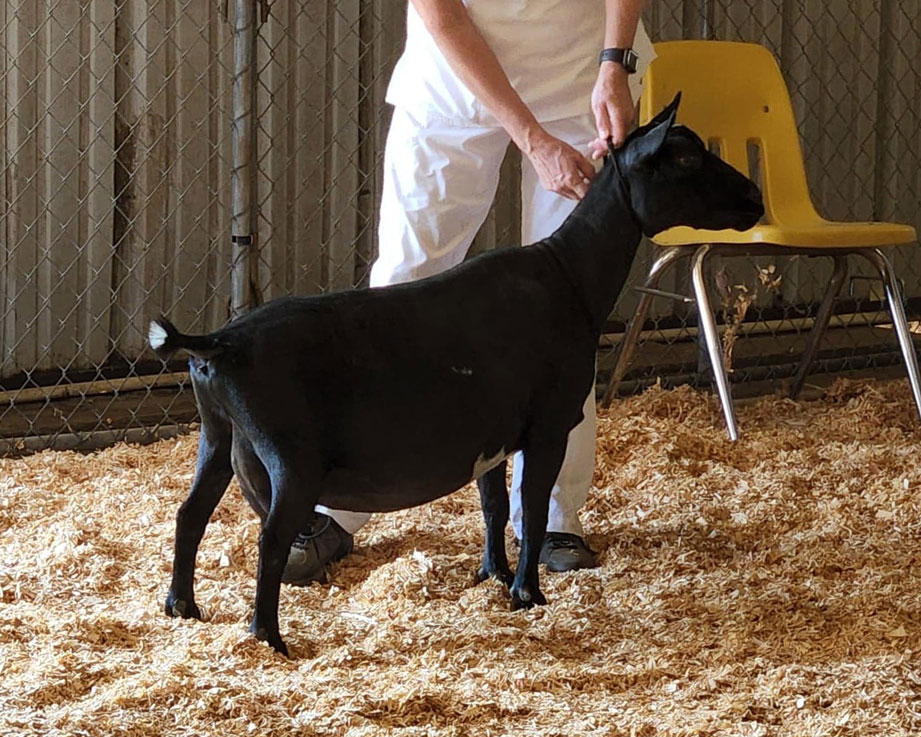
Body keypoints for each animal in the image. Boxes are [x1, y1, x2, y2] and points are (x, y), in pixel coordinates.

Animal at [151, 95, 764, 652]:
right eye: (685, 159)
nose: (756, 198)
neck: (570, 276)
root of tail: (218, 344)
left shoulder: (491, 435)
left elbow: (493, 507)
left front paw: (493, 575)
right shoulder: (546, 427)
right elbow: (530, 509)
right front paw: (528, 594)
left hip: (217, 435)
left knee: (190, 514)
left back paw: (182, 606)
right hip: (291, 459)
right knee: (271, 539)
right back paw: (269, 637)